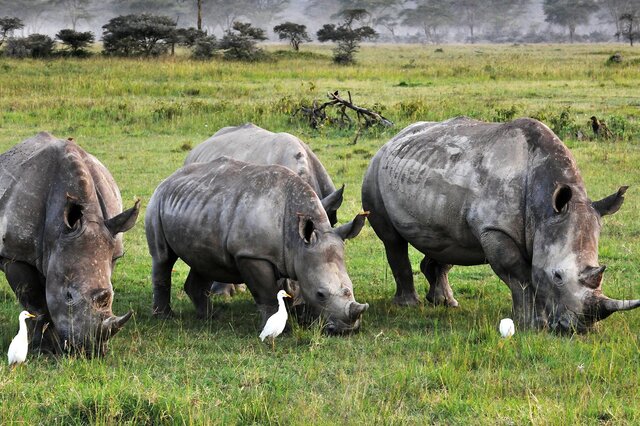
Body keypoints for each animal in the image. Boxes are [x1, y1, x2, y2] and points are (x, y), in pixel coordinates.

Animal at [0, 132, 139, 352]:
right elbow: (35, 302)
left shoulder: (111, 250)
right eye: (68, 296)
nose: (91, 349)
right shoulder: (15, 254)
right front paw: (43, 348)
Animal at [144, 158, 364, 334]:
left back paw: (211, 317)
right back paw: (165, 317)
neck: (297, 241)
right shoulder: (252, 255)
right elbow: (267, 293)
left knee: (205, 262)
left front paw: (297, 318)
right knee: (163, 258)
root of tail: (170, 177)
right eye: (320, 294)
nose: (346, 330)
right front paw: (281, 329)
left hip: (200, 208)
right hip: (156, 202)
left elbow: (286, 289)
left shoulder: (289, 255)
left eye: (351, 288)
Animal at [362, 116, 636, 332]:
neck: (545, 205)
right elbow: (520, 274)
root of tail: (392, 140)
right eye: (557, 276)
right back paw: (409, 305)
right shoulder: (495, 230)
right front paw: (533, 324)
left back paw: (446, 302)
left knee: (445, 241)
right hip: (373, 172)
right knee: (392, 240)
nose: (581, 328)